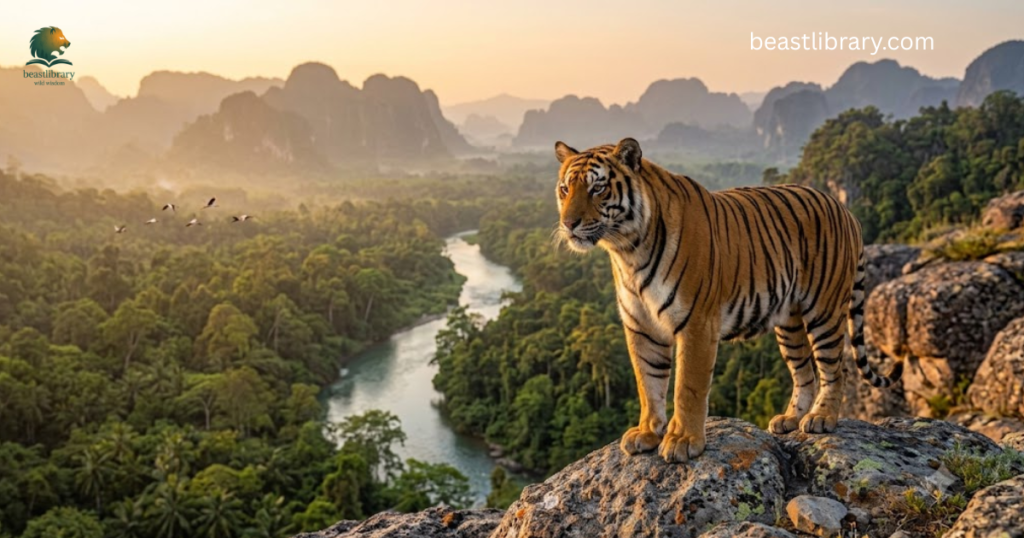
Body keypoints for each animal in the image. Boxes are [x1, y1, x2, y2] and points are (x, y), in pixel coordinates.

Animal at [554, 138, 902, 463]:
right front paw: (647, 433)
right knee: (805, 372)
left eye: (598, 188)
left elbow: (687, 387)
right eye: (564, 189)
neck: (628, 251)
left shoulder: (696, 324)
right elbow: (648, 384)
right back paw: (791, 419)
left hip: (824, 311)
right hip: (789, 323)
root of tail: (846, 211)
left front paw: (683, 440)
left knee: (834, 369)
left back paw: (822, 418)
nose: (568, 224)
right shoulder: (641, 327)